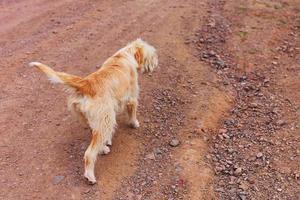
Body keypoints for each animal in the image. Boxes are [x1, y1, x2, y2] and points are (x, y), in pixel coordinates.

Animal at [29, 39, 158, 184]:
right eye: (152, 54)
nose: (156, 62)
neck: (124, 55)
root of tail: (85, 83)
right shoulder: (132, 98)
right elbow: (133, 112)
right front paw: (134, 123)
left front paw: (107, 141)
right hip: (106, 120)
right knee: (89, 154)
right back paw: (90, 176)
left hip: (96, 120)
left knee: (96, 137)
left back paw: (103, 147)